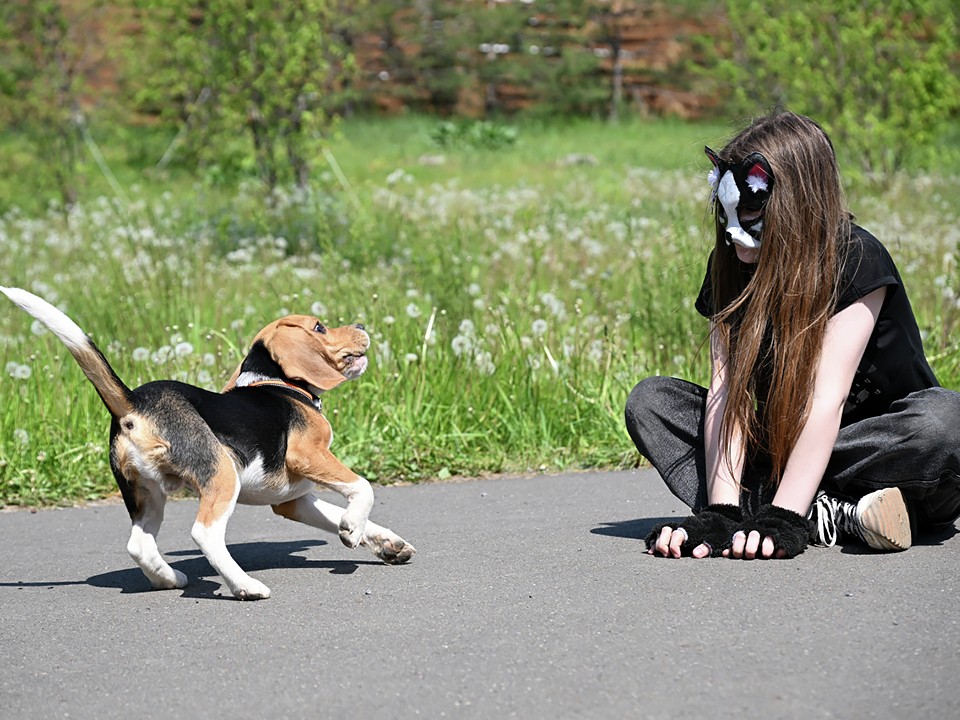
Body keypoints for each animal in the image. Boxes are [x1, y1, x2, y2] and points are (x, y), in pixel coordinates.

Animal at [3, 286, 416, 596]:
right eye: (319, 327)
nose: (361, 324)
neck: (277, 383)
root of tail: (134, 402)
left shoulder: (292, 500)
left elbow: (340, 515)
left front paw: (384, 543)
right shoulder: (308, 454)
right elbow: (362, 488)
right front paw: (353, 528)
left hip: (146, 493)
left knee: (139, 544)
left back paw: (169, 579)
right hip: (221, 474)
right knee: (205, 533)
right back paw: (245, 586)